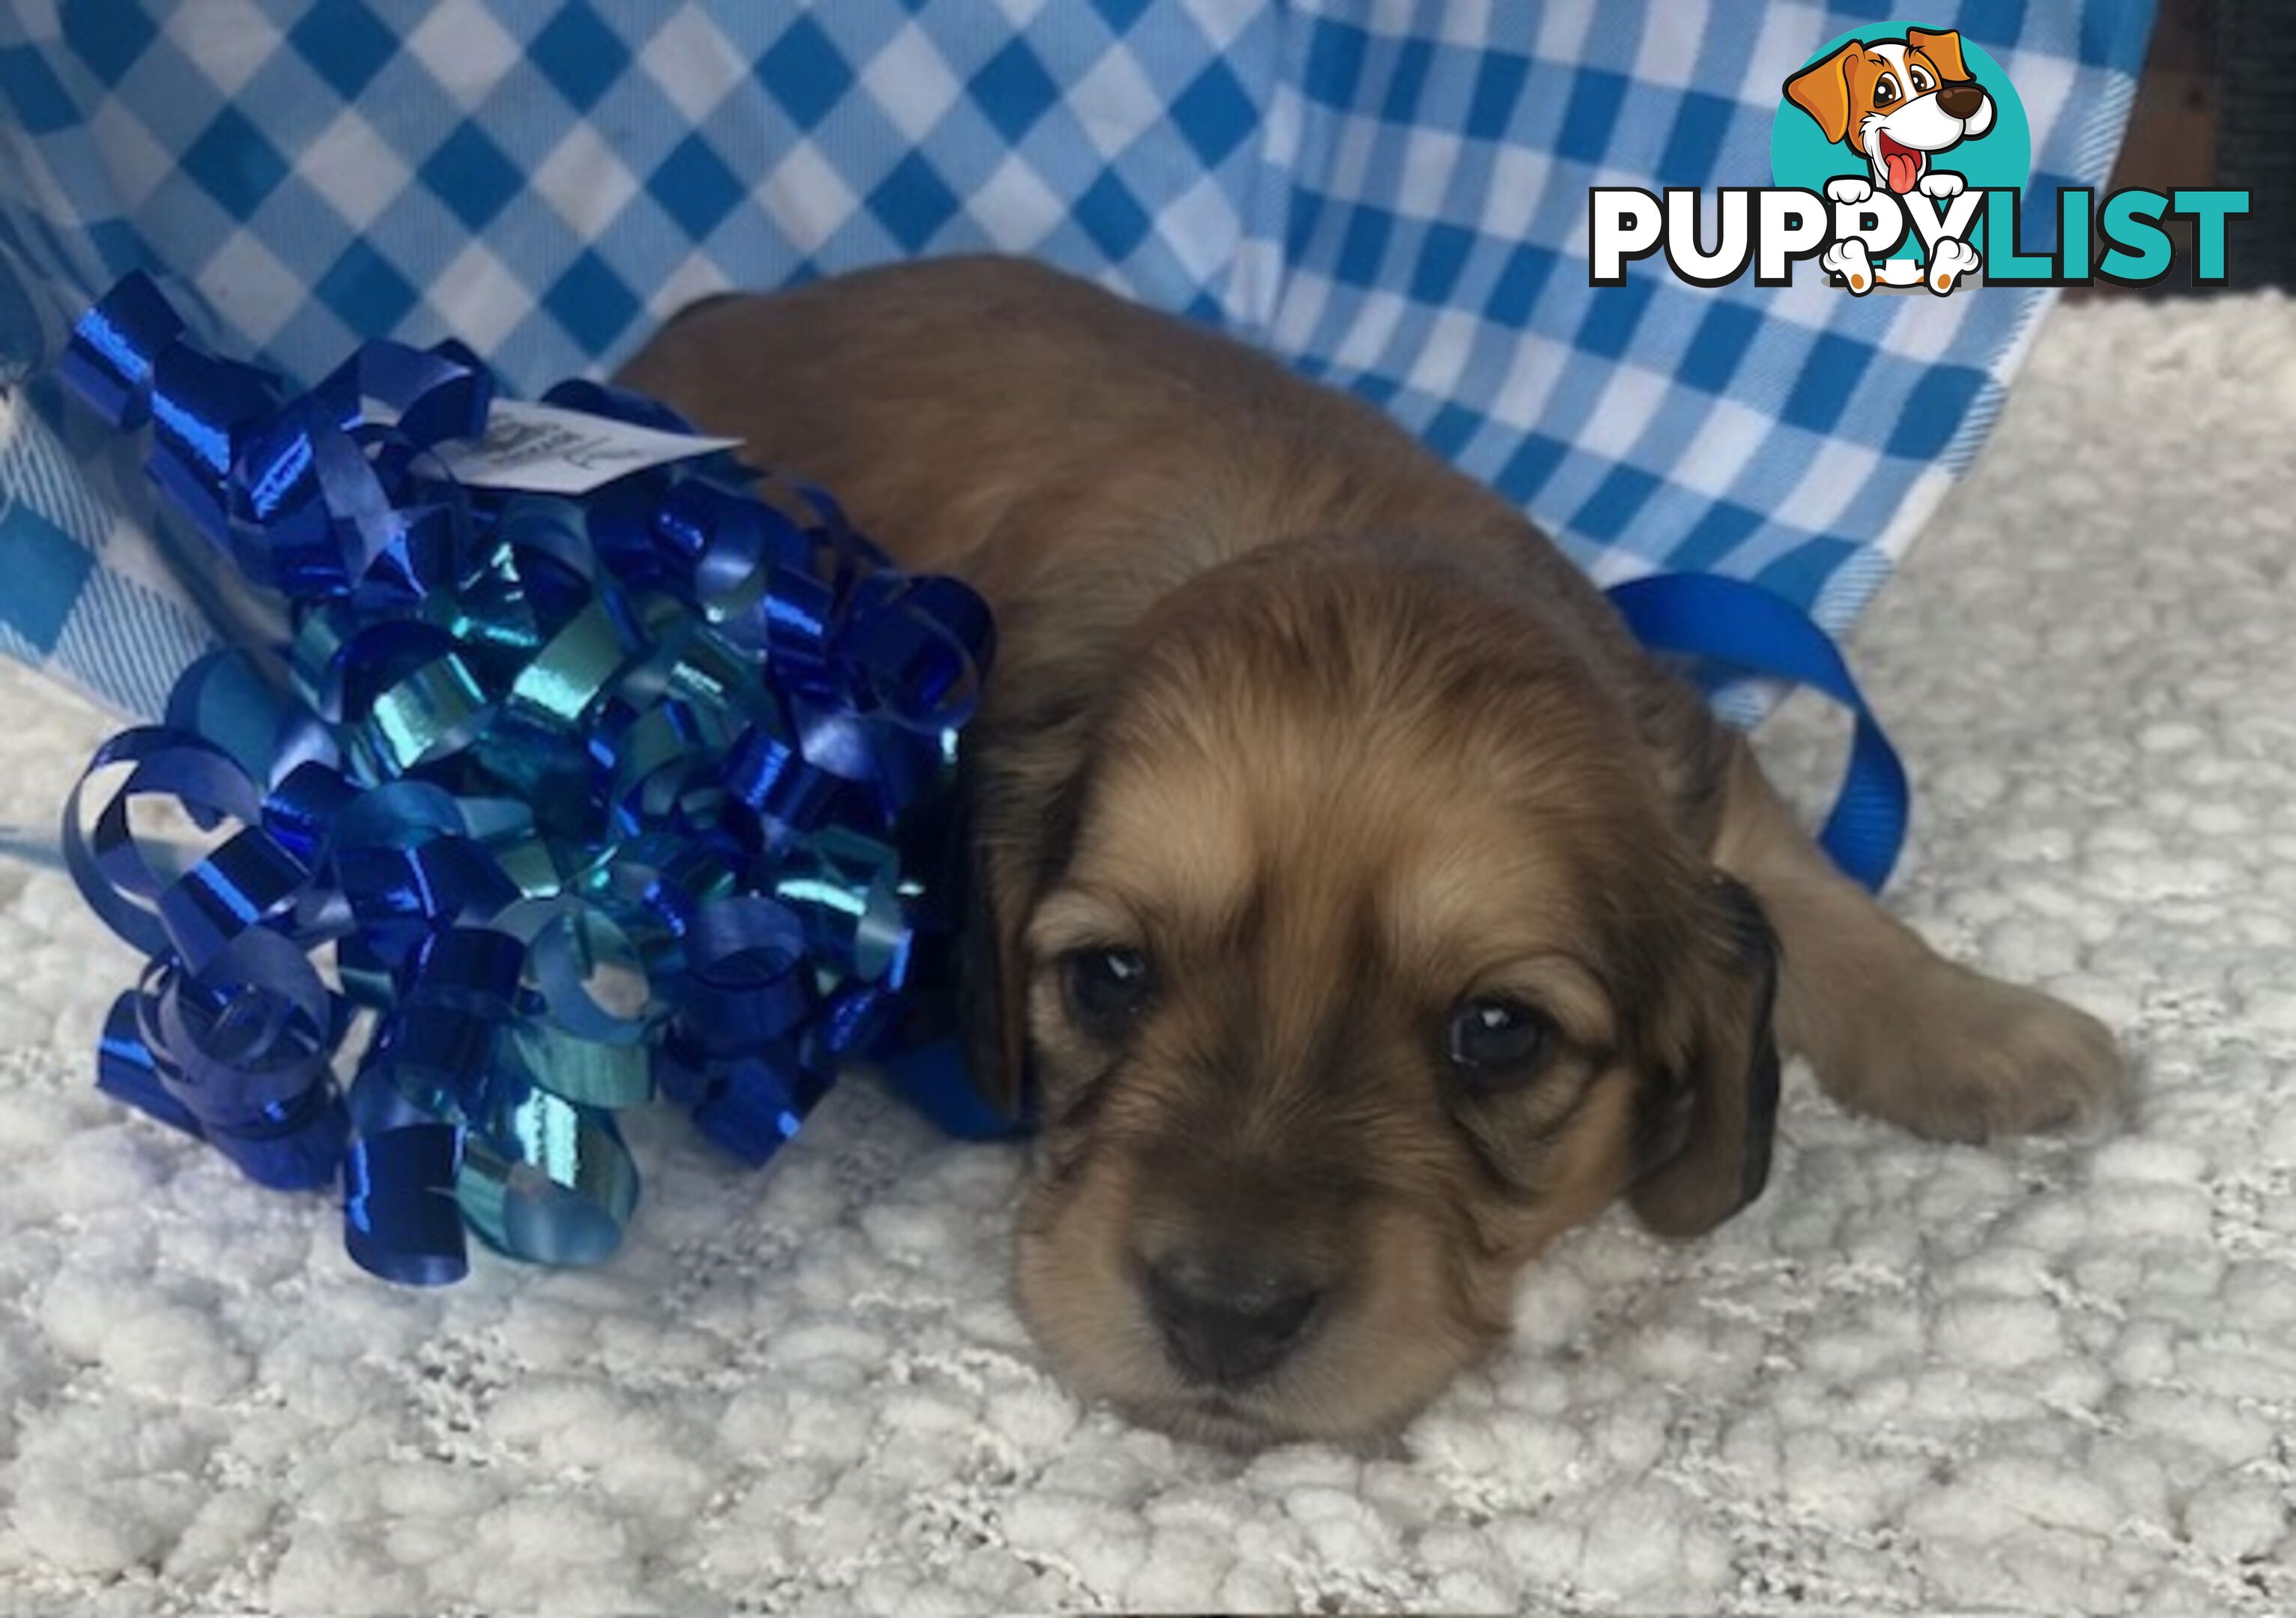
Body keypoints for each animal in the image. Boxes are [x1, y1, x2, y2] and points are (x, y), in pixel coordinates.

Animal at [620, 259, 2121, 1441]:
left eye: (1500, 1035)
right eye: (1107, 980)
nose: (1224, 1321)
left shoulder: (1697, 777)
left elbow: (1810, 896)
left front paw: (1991, 1030)